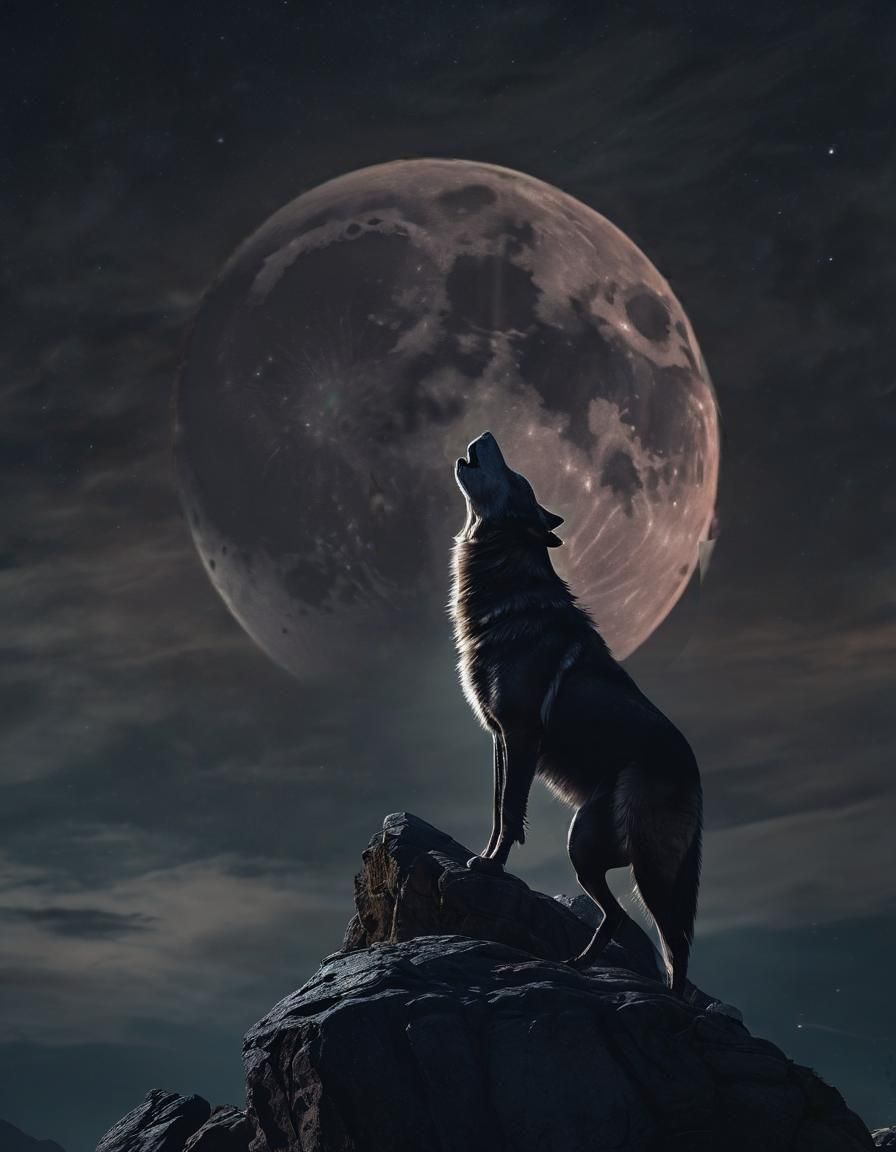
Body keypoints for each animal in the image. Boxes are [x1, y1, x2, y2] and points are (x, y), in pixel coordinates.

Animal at [449, 431, 703, 995]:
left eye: (517, 476)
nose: (486, 435)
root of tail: (695, 774)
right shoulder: (499, 738)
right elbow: (498, 809)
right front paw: (486, 857)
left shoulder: (520, 732)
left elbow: (509, 810)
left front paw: (492, 868)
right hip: (583, 846)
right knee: (618, 918)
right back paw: (580, 964)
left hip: (644, 868)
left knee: (674, 943)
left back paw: (674, 1001)